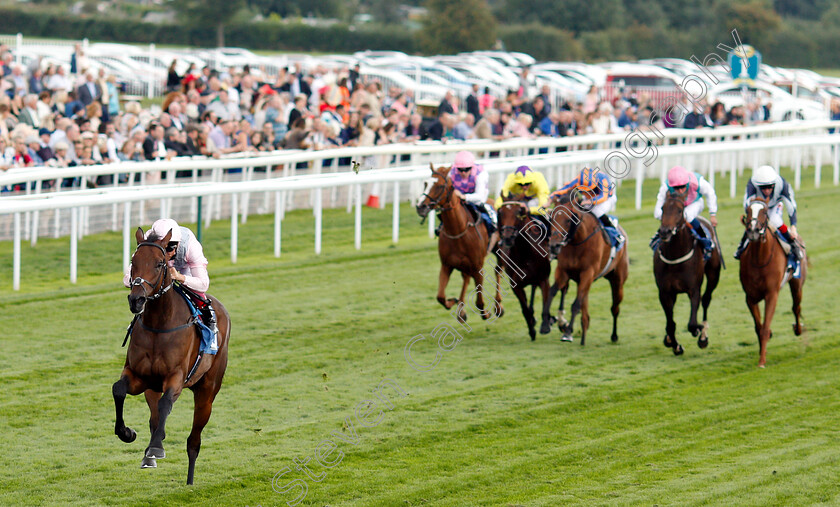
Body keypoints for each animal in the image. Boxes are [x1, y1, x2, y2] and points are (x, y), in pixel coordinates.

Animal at [111, 228, 231, 486]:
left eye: (159, 263)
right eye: (133, 262)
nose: (136, 300)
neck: (159, 324)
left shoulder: (175, 378)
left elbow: (167, 402)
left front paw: (155, 448)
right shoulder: (139, 377)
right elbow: (118, 389)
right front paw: (127, 433)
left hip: (207, 392)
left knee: (194, 440)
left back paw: (189, 480)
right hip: (151, 388)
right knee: (155, 418)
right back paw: (149, 455)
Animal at [498, 194, 556, 342]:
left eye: (519, 212)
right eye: (500, 213)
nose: (507, 237)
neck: (525, 252)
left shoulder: (543, 279)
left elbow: (546, 303)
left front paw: (546, 325)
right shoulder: (516, 285)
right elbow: (525, 310)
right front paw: (532, 330)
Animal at [548, 193, 628, 346]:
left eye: (569, 220)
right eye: (551, 217)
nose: (554, 246)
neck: (577, 242)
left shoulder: (588, 273)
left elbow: (575, 305)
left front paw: (567, 333)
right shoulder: (563, 271)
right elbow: (553, 291)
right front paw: (548, 323)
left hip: (617, 280)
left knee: (615, 308)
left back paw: (614, 335)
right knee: (585, 307)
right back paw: (583, 335)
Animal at [740, 196, 808, 368]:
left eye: (764, 212)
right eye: (748, 210)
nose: (753, 231)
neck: (760, 259)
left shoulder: (772, 295)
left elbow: (764, 328)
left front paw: (762, 361)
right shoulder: (750, 297)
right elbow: (759, 327)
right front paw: (762, 351)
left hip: (796, 284)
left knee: (796, 307)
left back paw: (798, 329)